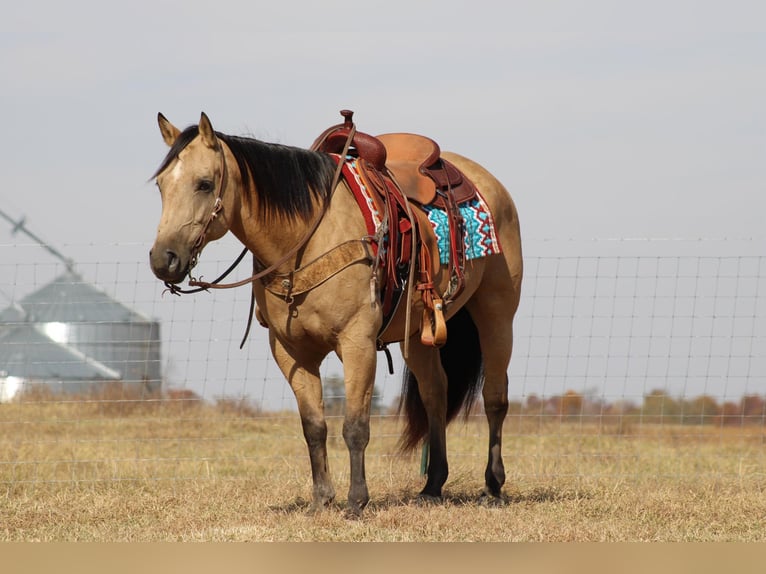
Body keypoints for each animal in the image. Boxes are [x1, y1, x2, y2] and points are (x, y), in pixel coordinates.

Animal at [150, 110, 520, 516]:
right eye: (161, 186)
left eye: (204, 184)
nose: (163, 259)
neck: (307, 240)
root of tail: (486, 181)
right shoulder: (291, 352)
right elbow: (314, 427)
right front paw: (321, 499)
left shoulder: (357, 342)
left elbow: (355, 427)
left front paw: (356, 501)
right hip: (417, 333)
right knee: (435, 393)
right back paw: (432, 485)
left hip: (497, 311)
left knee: (495, 398)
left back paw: (493, 487)